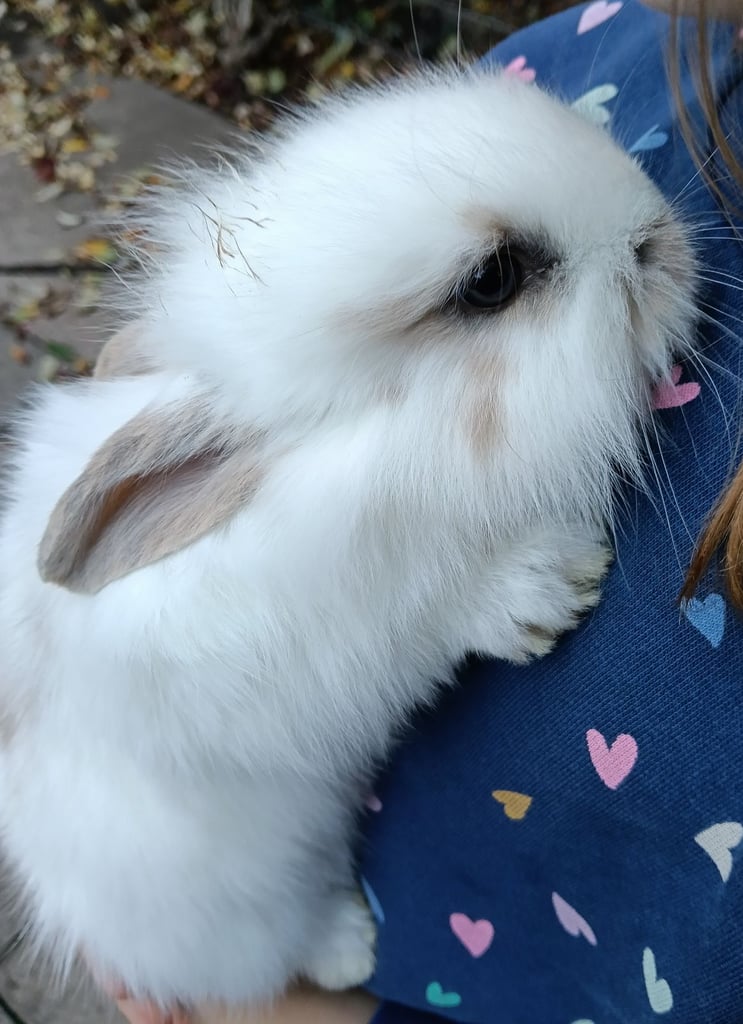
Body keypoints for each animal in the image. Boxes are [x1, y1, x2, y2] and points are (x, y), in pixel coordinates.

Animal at [0, 65, 697, 1010]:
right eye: (492, 280)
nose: (662, 231)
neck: (366, 449)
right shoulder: (324, 647)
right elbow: (426, 613)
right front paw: (548, 587)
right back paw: (349, 949)